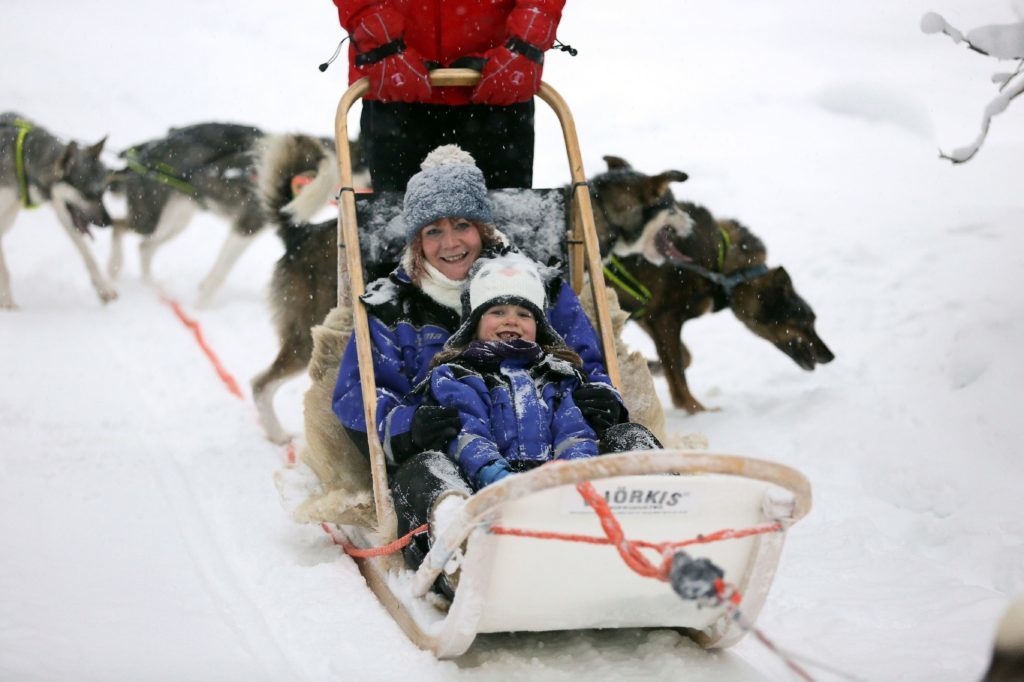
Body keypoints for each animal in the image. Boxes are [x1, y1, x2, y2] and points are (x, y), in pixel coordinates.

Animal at [0, 112, 115, 307]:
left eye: (103, 193)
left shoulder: (63, 211)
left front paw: (104, 288)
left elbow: (87, 252)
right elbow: (4, 273)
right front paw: (8, 304)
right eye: (88, 194)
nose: (109, 222)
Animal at [593, 156, 831, 411]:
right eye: (805, 322)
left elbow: (683, 359)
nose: (831, 355)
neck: (721, 265)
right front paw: (697, 410)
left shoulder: (647, 316)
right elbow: (678, 372)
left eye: (812, 321)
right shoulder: (664, 319)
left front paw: (652, 365)